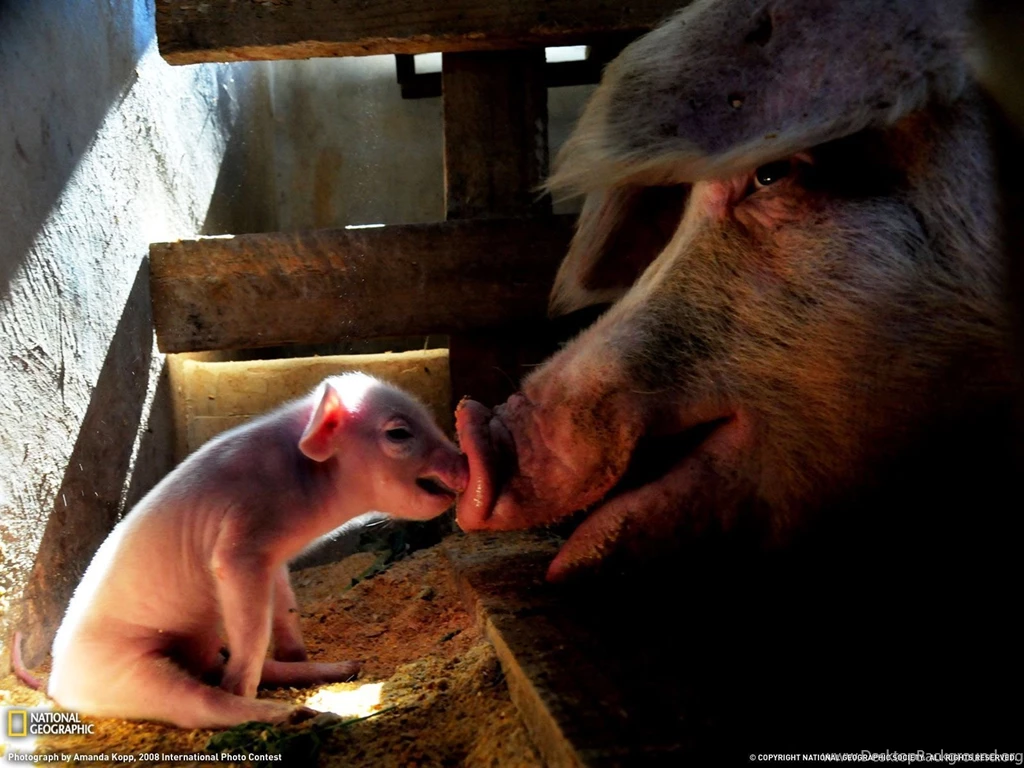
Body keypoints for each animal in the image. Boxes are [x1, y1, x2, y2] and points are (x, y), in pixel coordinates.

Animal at [42, 372, 467, 729]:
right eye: (398, 433)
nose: (465, 461)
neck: (305, 479)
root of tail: (57, 683)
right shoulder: (241, 543)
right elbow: (253, 626)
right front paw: (250, 688)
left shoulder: (273, 558)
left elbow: (285, 608)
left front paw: (299, 652)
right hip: (125, 673)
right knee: (199, 702)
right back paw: (303, 714)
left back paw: (345, 667)